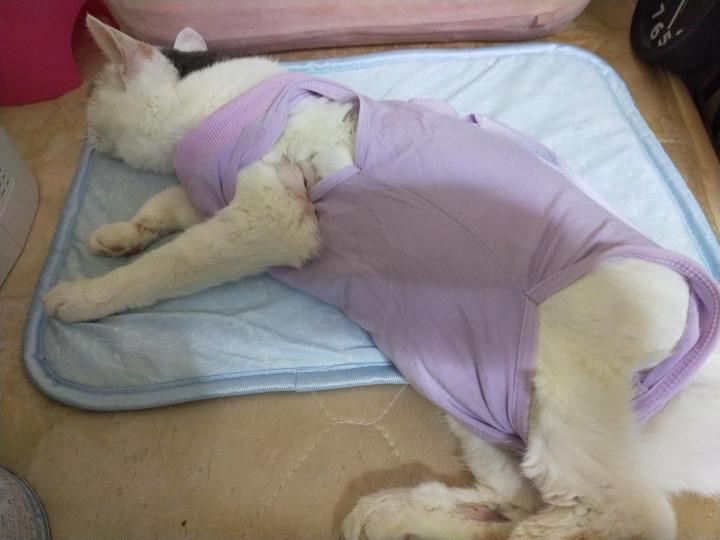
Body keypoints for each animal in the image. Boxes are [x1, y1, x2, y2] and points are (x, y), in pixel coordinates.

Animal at [43, 15, 720, 540]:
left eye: (93, 95)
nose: (83, 134)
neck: (216, 105)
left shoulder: (271, 217)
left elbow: (170, 262)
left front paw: (84, 294)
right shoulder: (218, 198)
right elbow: (165, 209)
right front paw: (118, 234)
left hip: (568, 394)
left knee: (624, 515)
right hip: (474, 395)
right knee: (519, 495)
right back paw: (396, 514)